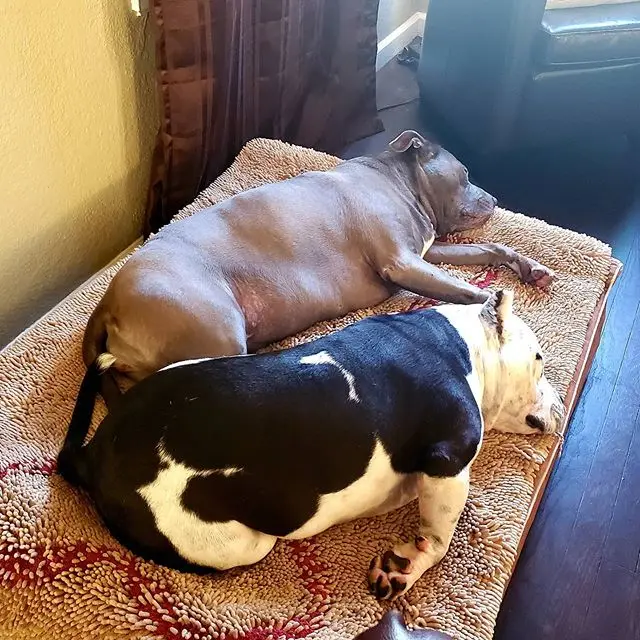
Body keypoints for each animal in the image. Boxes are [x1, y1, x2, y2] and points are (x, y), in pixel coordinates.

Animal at [58, 290, 564, 600]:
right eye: (540, 359)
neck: (465, 343)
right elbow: (440, 538)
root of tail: (93, 454)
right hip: (241, 543)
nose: (561, 402)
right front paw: (408, 564)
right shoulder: (449, 461)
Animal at [80, 130, 553, 405]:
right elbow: (471, 291)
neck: (398, 179)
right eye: (467, 172)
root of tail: (107, 303)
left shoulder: (426, 253)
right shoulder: (402, 262)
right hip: (214, 330)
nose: (494, 198)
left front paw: (529, 266)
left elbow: (487, 248)